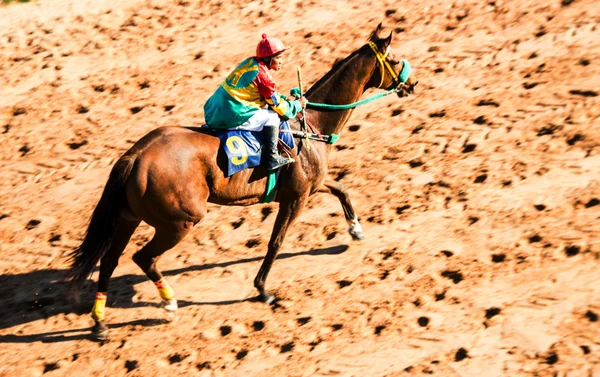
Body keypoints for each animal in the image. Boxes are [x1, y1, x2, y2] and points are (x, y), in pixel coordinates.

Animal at [68, 25, 418, 340]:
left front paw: (356, 229)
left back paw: (99, 324)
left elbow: (342, 190)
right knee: (143, 258)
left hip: (129, 217)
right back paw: (169, 304)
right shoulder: (296, 197)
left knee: (109, 261)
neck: (311, 125)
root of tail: (136, 156)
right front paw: (263, 290)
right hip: (179, 222)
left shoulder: (311, 185)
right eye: (394, 58)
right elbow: (276, 242)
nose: (412, 82)